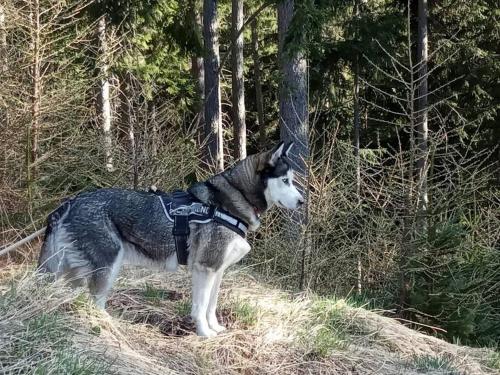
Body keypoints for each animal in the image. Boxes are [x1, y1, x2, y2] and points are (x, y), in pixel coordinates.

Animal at [37, 142, 302, 336]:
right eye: (285, 180)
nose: (301, 202)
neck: (231, 203)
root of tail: (69, 203)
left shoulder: (217, 271)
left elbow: (211, 306)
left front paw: (215, 328)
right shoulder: (205, 269)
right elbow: (200, 307)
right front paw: (205, 334)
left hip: (75, 274)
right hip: (106, 270)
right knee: (95, 302)